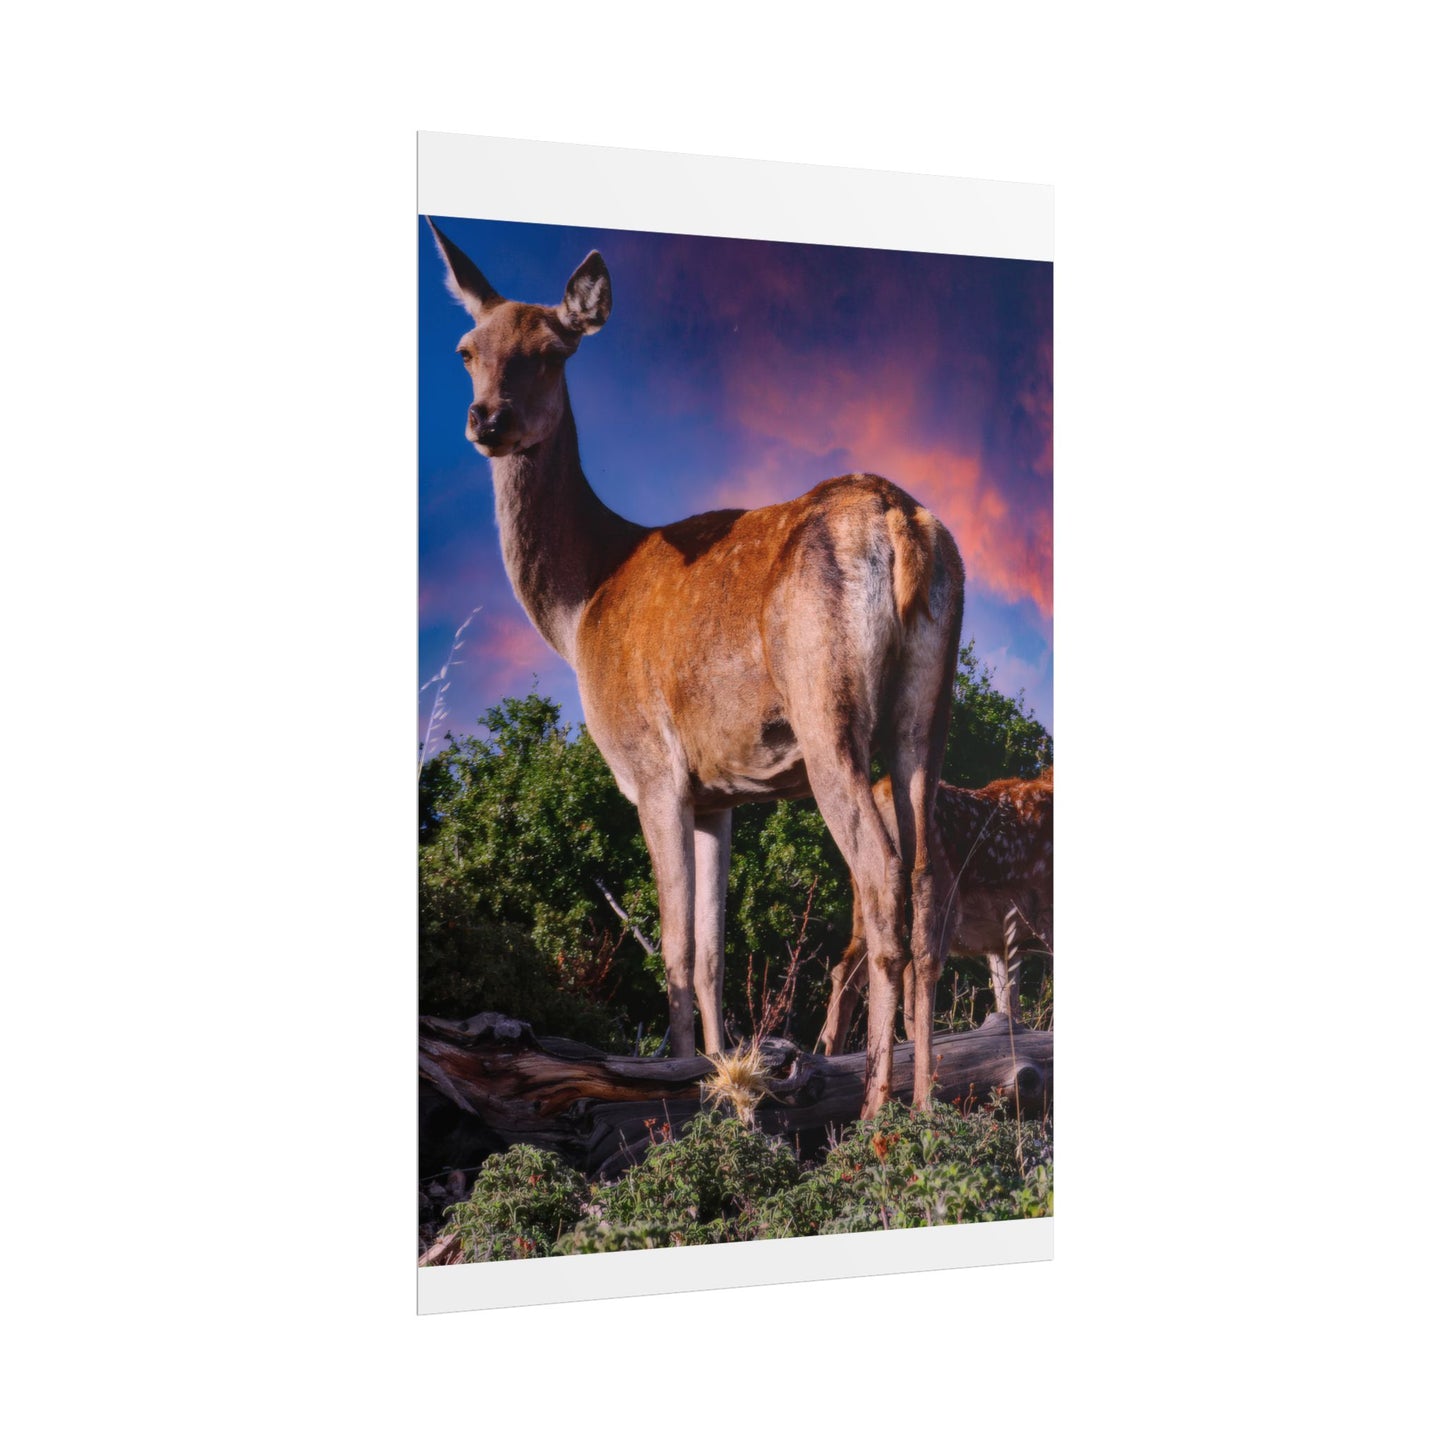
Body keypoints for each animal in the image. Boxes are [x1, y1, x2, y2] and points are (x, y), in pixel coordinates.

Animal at [427, 220, 964, 1117]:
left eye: (551, 350)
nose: (486, 418)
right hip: (926, 709)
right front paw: (719, 1078)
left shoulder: (652, 766)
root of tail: (901, 524)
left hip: (827, 706)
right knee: (926, 880)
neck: (580, 605)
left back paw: (875, 1109)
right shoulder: (720, 793)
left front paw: (674, 1087)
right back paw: (926, 1103)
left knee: (881, 875)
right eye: (468, 348)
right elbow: (712, 952)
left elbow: (674, 948)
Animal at [818, 769, 1053, 1055]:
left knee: (848, 970)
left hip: (867, 904)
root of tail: (882, 791)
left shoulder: (1004, 943)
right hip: (938, 902)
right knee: (916, 977)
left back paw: (832, 1052)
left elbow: (1010, 1011)